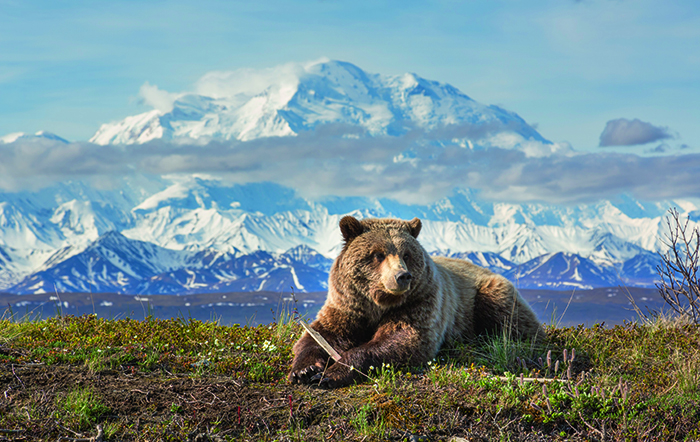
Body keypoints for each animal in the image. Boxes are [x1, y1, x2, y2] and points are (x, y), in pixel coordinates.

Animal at [288, 216, 544, 388]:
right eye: (378, 254)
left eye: (406, 254)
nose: (402, 276)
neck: (378, 303)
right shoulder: (348, 305)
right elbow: (322, 333)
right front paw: (305, 370)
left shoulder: (419, 303)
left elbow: (402, 338)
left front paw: (332, 373)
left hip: (487, 294)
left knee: (510, 320)